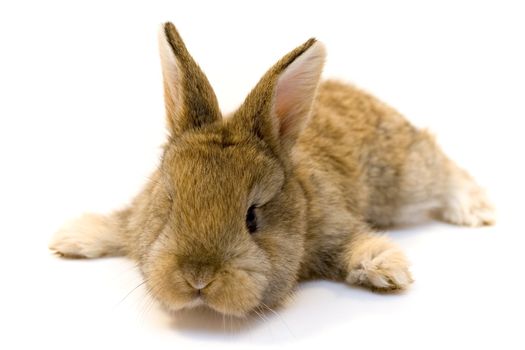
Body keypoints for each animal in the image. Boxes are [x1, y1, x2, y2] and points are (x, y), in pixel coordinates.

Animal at [48, 21, 492, 318]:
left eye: (252, 218)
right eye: (169, 203)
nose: (198, 278)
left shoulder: (337, 223)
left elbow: (356, 242)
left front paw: (387, 269)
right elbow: (120, 224)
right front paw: (71, 237)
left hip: (404, 181)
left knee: (444, 168)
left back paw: (477, 210)